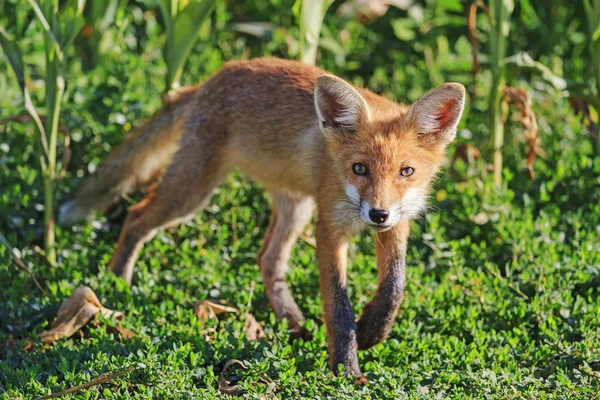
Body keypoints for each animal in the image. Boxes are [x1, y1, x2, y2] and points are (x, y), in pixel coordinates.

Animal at [59, 57, 464, 376]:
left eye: (406, 172)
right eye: (359, 169)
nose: (377, 214)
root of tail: (212, 77)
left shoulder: (397, 223)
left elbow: (395, 285)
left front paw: (372, 331)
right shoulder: (329, 229)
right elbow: (339, 307)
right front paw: (346, 370)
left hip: (294, 207)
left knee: (268, 259)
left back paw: (294, 323)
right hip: (192, 193)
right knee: (136, 215)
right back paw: (117, 282)